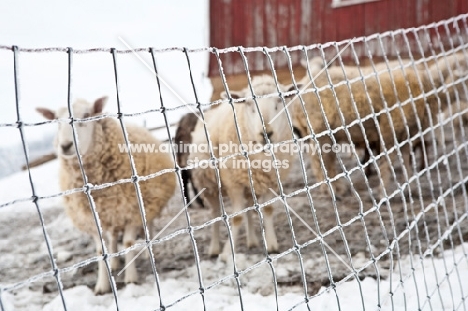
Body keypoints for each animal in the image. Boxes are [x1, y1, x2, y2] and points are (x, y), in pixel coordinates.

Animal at [36, 97, 176, 294]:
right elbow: (101, 251)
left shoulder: (133, 210)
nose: (65, 145)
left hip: (146, 205)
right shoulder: (92, 219)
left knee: (146, 227)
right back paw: (115, 262)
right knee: (113, 239)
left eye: (86, 115)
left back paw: (147, 253)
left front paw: (131, 278)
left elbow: (129, 242)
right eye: (56, 119)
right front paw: (102, 285)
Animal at [188, 75, 294, 264]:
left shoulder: (271, 181)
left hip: (249, 186)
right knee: (215, 213)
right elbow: (237, 217)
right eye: (248, 104)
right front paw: (226, 253)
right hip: (209, 186)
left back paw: (252, 240)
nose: (266, 133)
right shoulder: (233, 183)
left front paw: (272, 245)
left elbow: (268, 209)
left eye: (279, 101)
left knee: (250, 208)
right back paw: (214, 248)